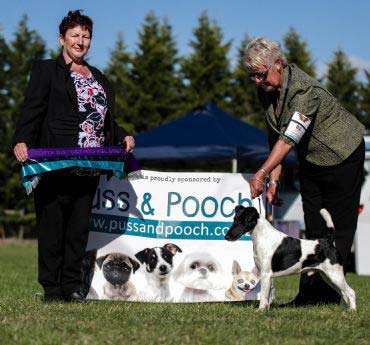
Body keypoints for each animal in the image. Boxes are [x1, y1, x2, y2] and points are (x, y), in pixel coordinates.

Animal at [224, 206, 356, 310]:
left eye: (242, 221)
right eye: (234, 219)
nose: (227, 236)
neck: (263, 236)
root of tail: (328, 241)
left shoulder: (266, 274)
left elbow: (263, 296)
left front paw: (260, 311)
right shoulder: (267, 275)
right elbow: (269, 295)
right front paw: (267, 310)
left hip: (335, 275)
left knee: (351, 292)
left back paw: (352, 312)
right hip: (328, 277)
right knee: (343, 294)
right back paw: (345, 311)